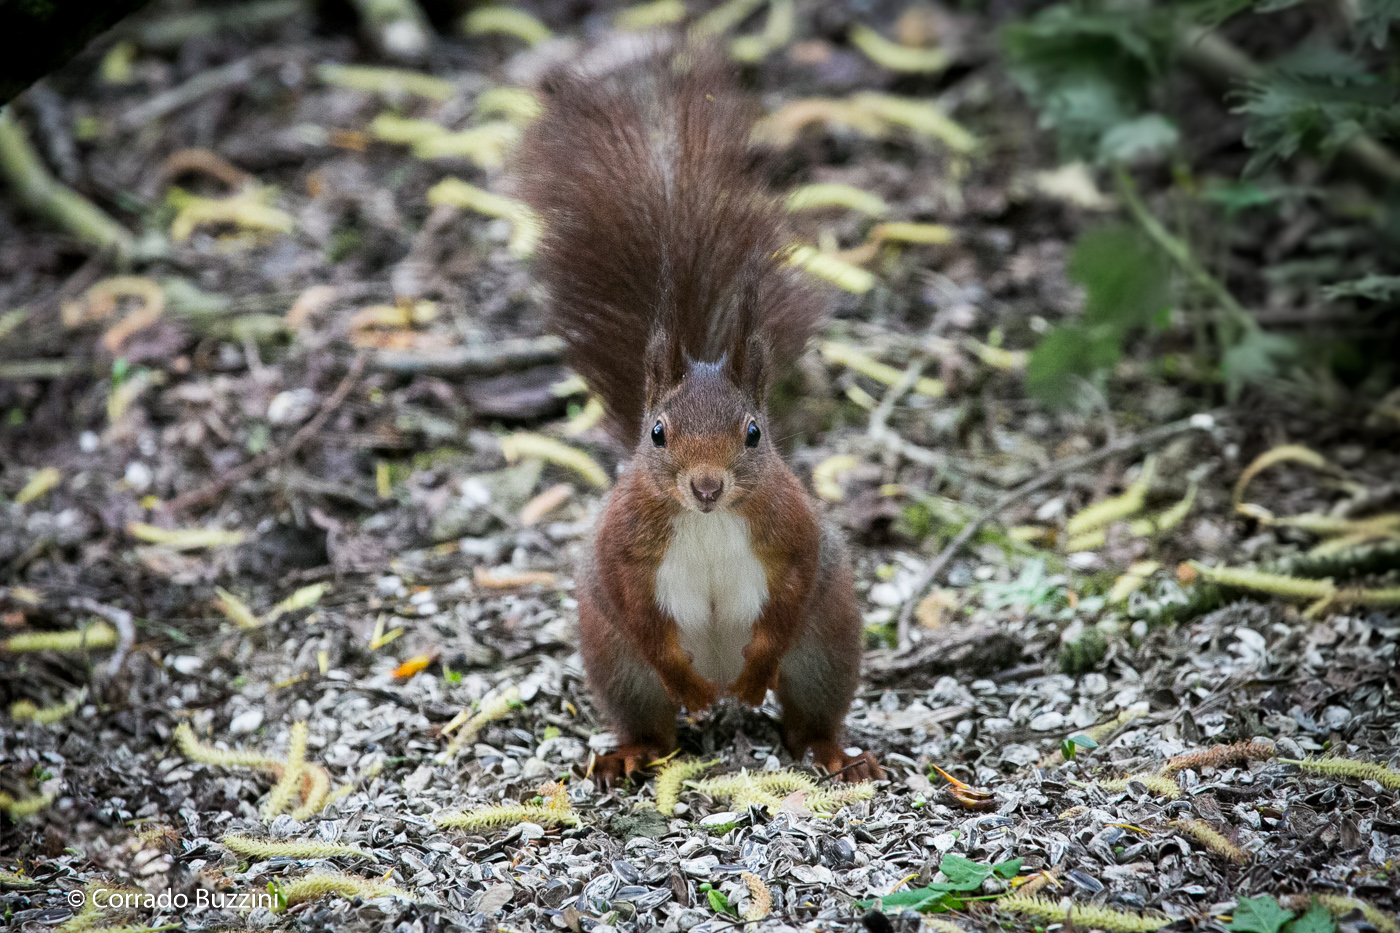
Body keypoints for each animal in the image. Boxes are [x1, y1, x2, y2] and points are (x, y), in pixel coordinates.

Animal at [518, 52, 881, 783]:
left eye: (754, 433)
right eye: (657, 433)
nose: (707, 486)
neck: (709, 522)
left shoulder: (793, 533)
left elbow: (790, 593)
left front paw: (756, 674)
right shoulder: (622, 547)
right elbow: (638, 609)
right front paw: (683, 684)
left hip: (827, 644)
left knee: (808, 716)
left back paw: (830, 750)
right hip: (616, 664)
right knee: (652, 720)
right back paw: (636, 748)